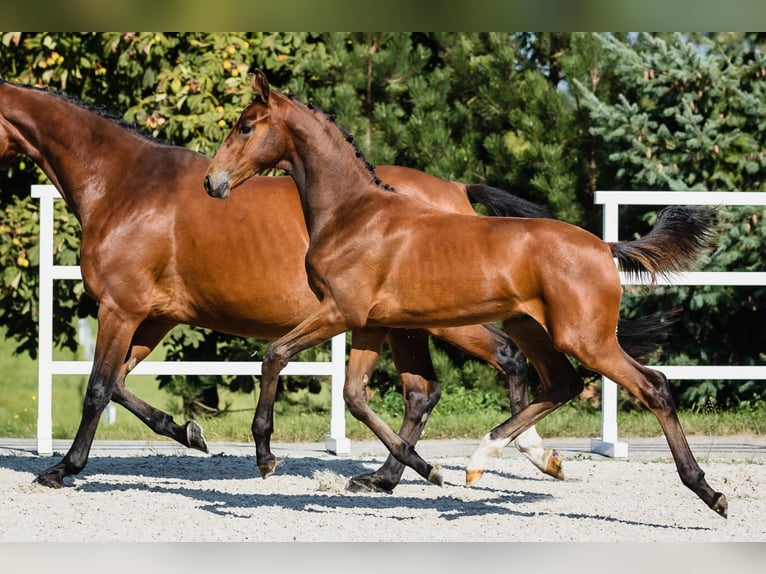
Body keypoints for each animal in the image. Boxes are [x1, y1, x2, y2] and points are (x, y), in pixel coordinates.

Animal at [0, 74, 564, 492]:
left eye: (247, 127)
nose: (214, 183)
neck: (125, 185)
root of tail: (455, 190)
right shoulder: (154, 317)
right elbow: (117, 383)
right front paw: (189, 433)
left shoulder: (121, 308)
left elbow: (98, 388)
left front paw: (62, 469)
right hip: (404, 326)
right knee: (421, 391)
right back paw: (387, 477)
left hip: (442, 322)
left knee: (502, 360)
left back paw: (526, 456)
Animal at [206, 70, 732, 520]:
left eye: (245, 126)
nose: (213, 182)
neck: (354, 214)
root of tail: (604, 247)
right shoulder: (370, 323)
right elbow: (355, 395)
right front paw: (422, 469)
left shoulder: (339, 312)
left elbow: (275, 355)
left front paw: (265, 455)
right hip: (530, 327)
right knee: (561, 383)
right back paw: (488, 458)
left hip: (585, 338)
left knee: (652, 385)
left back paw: (709, 492)